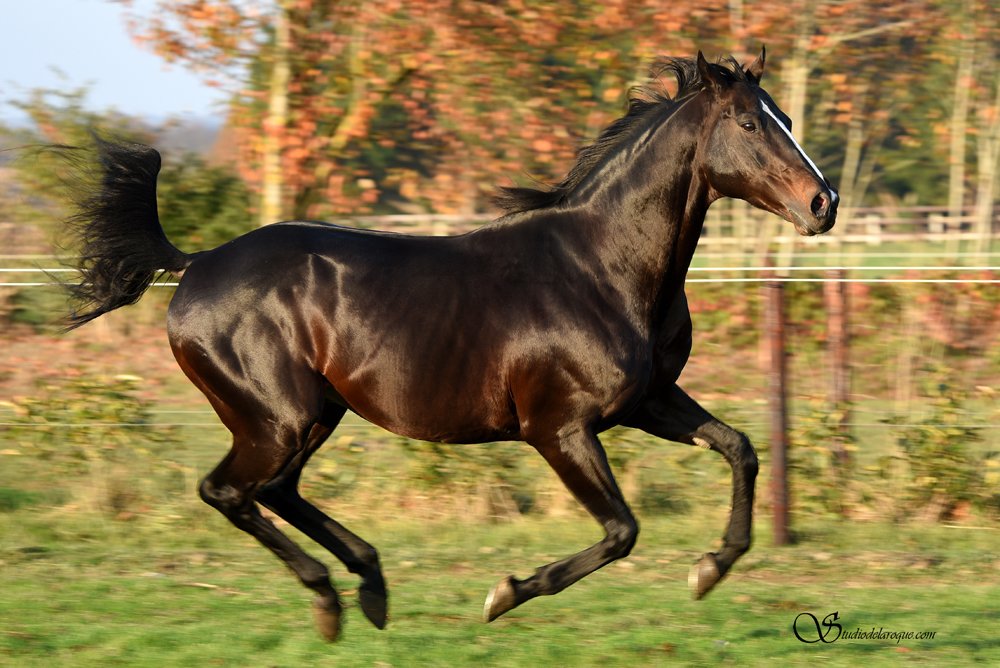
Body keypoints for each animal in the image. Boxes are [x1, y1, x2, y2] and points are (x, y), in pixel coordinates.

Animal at [64, 49, 837, 641]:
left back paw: (371, 584)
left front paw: (711, 568)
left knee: (275, 490)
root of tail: (194, 263)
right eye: (748, 121)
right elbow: (621, 531)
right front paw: (505, 593)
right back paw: (331, 599)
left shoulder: (648, 401)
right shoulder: (560, 429)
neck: (602, 266)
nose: (823, 204)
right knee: (227, 490)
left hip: (313, 415)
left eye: (782, 115)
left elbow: (740, 447)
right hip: (276, 419)